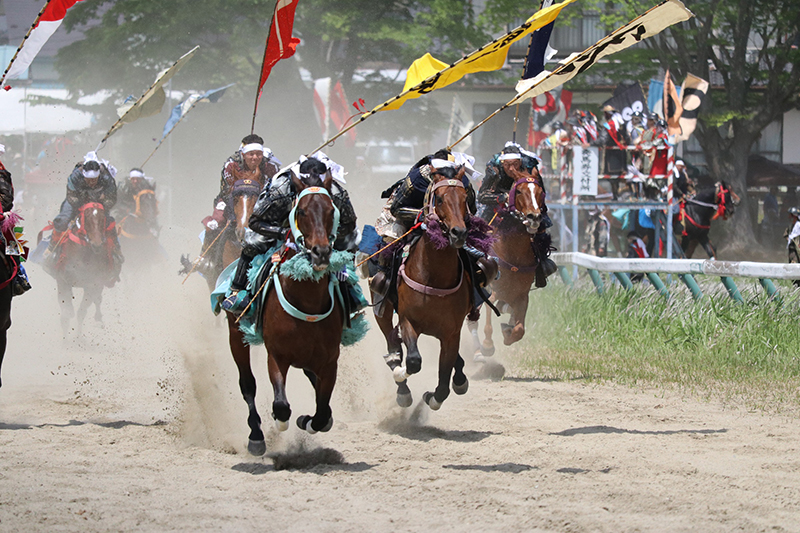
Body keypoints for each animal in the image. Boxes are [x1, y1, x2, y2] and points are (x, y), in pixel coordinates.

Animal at [52, 202, 119, 334]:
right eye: (86, 218)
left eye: (102, 219)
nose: (96, 244)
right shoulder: (62, 281)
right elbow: (66, 313)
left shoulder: (93, 284)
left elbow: (81, 312)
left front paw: (78, 338)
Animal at [374, 168, 476, 410]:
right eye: (439, 199)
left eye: (465, 198)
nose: (458, 232)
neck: (434, 279)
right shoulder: (408, 321)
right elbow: (413, 361)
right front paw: (400, 373)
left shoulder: (451, 333)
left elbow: (444, 382)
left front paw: (434, 397)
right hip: (383, 309)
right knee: (393, 343)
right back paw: (400, 381)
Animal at [468, 160, 552, 356]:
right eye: (519, 191)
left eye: (540, 192)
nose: (534, 217)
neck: (514, 255)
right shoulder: (490, 289)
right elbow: (488, 311)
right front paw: (488, 345)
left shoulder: (522, 295)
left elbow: (519, 329)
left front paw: (508, 333)